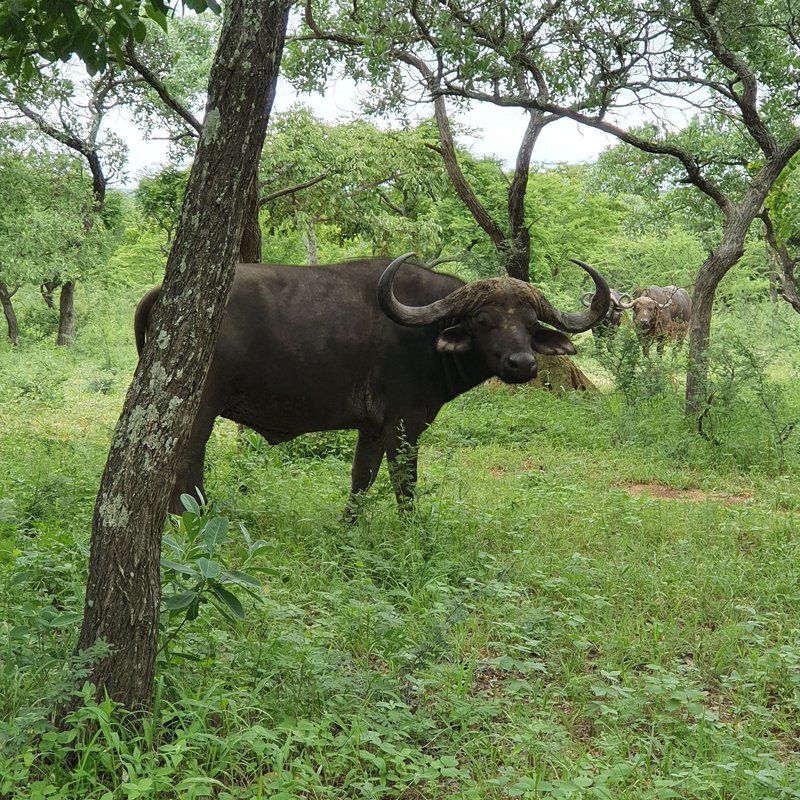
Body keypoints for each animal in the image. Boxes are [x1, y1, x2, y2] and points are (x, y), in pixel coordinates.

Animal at [138, 256, 608, 520]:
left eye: (529, 324)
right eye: (484, 320)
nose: (522, 364)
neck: (424, 333)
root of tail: (165, 291)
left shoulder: (373, 428)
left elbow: (361, 478)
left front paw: (347, 526)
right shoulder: (405, 423)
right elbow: (405, 482)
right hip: (198, 405)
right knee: (183, 461)